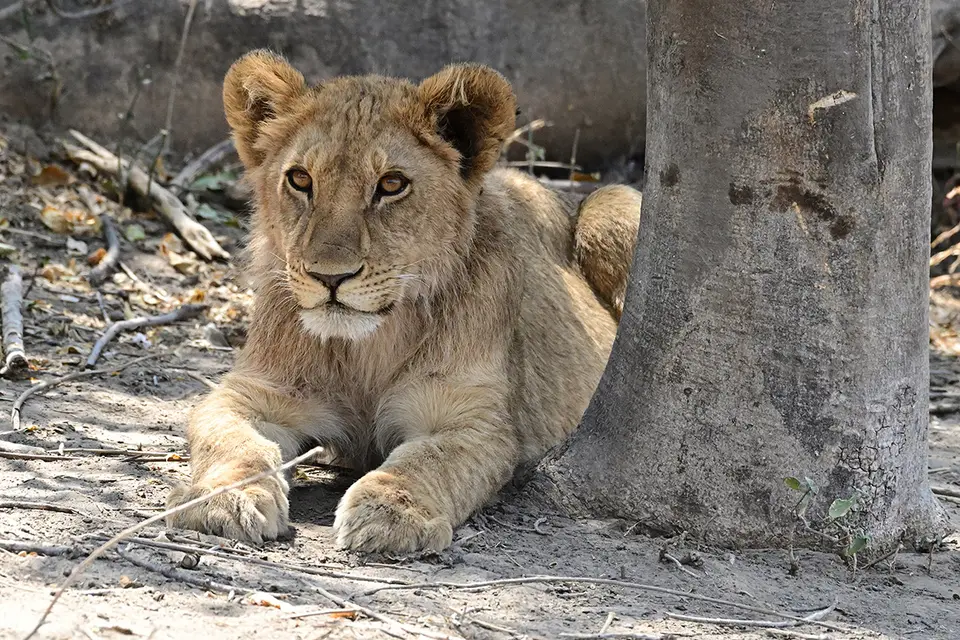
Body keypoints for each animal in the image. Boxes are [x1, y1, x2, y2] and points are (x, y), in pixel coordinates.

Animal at [166, 50, 642, 553]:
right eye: (300, 179)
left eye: (392, 185)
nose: (329, 276)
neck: (368, 348)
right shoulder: (252, 391)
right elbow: (231, 442)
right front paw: (224, 499)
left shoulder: (471, 418)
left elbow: (429, 460)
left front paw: (391, 510)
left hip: (613, 204)